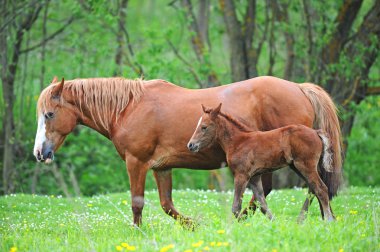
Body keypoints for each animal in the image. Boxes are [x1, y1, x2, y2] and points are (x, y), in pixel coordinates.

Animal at [188, 103, 336, 221]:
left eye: (204, 127)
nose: (191, 145)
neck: (239, 141)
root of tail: (316, 132)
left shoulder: (241, 175)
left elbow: (236, 207)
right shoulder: (255, 177)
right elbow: (262, 203)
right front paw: (275, 223)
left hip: (305, 165)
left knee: (321, 188)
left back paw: (328, 220)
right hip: (297, 167)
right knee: (313, 188)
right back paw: (303, 219)